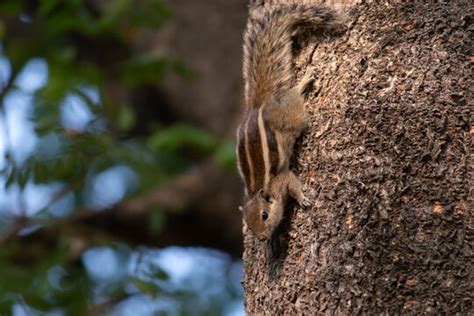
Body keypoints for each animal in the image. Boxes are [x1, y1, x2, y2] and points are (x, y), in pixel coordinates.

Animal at [236, 2, 340, 241]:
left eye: (264, 215)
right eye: (249, 225)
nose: (262, 238)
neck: (259, 189)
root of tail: (258, 105)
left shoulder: (283, 179)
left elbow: (294, 184)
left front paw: (303, 199)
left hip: (293, 114)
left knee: (294, 94)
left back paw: (305, 79)